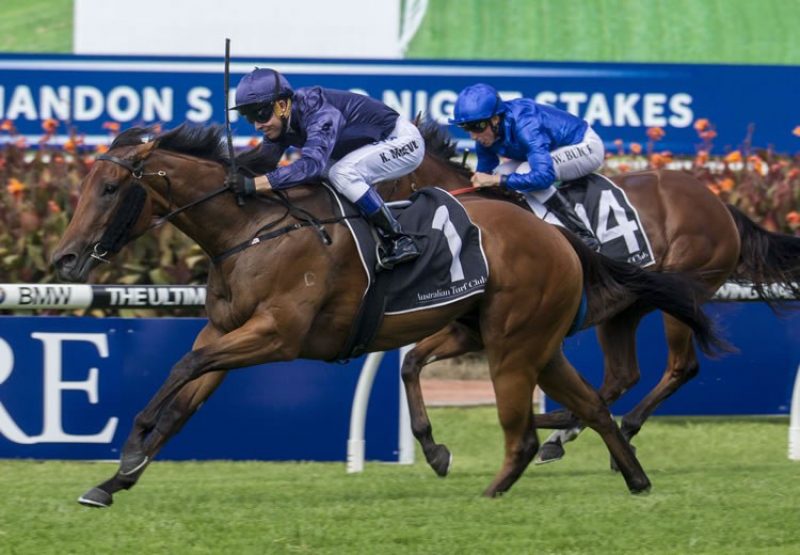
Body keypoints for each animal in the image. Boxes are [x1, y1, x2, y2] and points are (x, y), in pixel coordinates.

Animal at [50, 124, 720, 506]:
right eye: (79, 188)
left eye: (108, 190)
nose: (64, 257)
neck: (251, 231)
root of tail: (558, 236)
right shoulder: (229, 330)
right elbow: (184, 399)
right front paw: (112, 482)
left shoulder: (276, 335)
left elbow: (181, 369)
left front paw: (129, 445)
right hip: (539, 339)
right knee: (596, 399)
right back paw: (632, 477)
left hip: (514, 343)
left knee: (560, 411)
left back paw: (513, 476)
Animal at [380, 122, 800, 474]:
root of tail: (720, 205)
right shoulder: (467, 331)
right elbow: (412, 364)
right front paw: (435, 449)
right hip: (626, 310)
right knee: (621, 376)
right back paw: (566, 434)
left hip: (683, 292)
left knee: (680, 367)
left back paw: (609, 428)